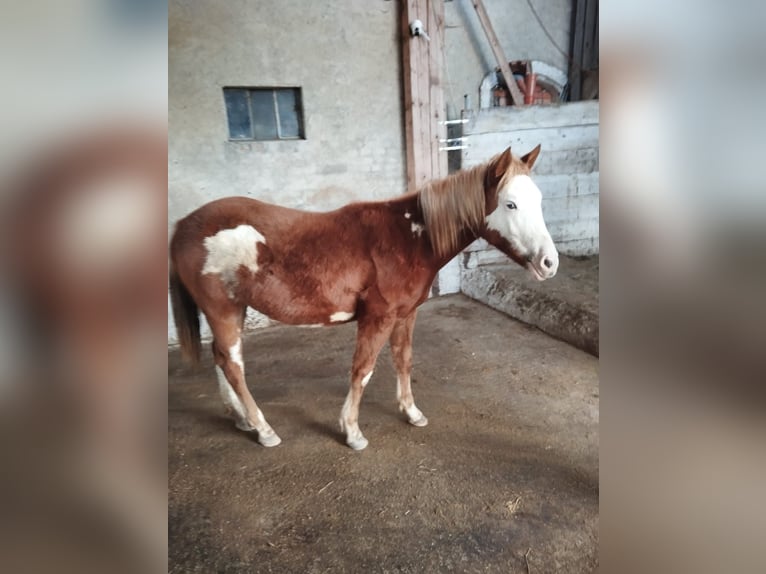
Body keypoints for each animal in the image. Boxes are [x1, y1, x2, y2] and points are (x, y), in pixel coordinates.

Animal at [171, 146, 560, 452]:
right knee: (233, 365)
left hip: (233, 310)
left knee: (222, 358)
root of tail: (182, 226)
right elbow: (363, 370)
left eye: (540, 200)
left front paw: (411, 413)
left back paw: (242, 420)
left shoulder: (405, 315)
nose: (549, 263)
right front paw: (352, 431)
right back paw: (264, 430)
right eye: (510, 204)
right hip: (222, 310)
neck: (409, 237)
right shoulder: (378, 317)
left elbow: (403, 361)